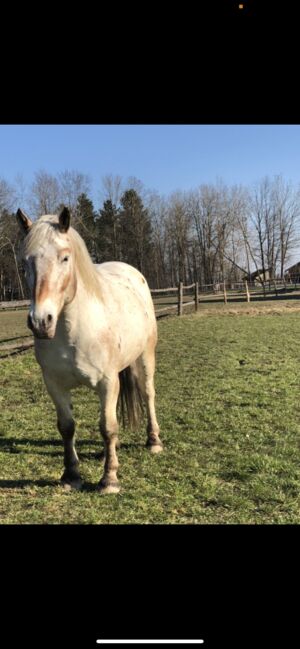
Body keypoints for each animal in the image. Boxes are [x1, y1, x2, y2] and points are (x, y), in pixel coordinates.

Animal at [16, 206, 163, 492]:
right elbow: (67, 426)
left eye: (64, 258)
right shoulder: (54, 384)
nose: (40, 321)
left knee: (148, 393)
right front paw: (71, 475)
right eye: (25, 263)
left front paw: (109, 479)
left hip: (145, 356)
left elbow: (107, 426)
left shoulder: (108, 381)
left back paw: (153, 441)